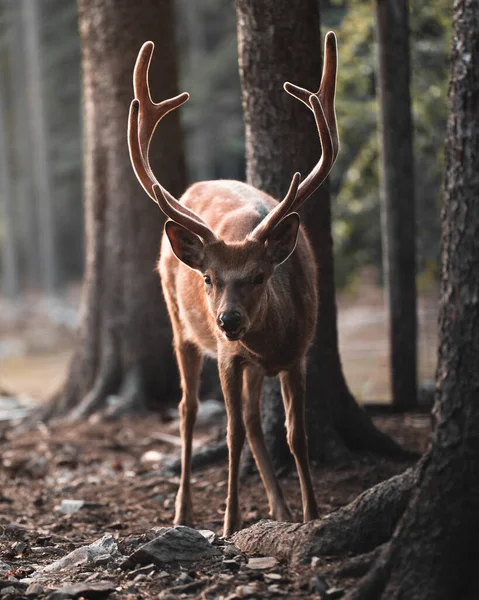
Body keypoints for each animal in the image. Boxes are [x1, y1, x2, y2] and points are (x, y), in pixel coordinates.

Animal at [127, 31, 342, 540]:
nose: (227, 319)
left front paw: (311, 514)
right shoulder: (228, 357)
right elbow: (230, 433)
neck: (271, 342)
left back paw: (280, 509)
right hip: (180, 327)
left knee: (250, 416)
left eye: (259, 276)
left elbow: (295, 433)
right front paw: (229, 522)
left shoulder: (300, 352)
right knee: (188, 409)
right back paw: (183, 511)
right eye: (208, 277)